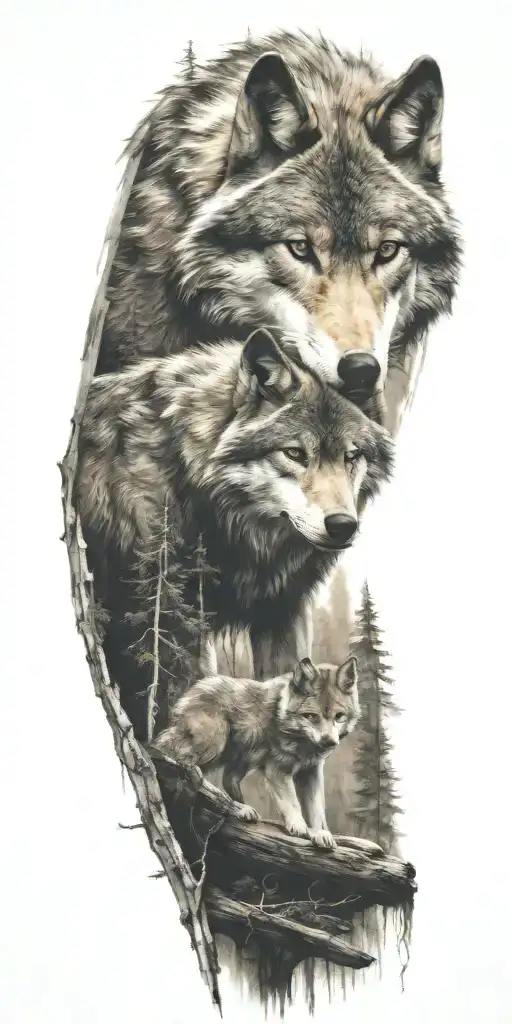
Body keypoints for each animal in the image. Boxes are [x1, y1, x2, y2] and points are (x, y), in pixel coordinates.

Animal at [152, 655, 360, 849]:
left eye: (339, 716)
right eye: (311, 716)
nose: (329, 741)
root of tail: (201, 683)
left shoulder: (311, 772)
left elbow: (316, 808)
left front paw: (320, 833)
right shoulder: (277, 770)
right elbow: (292, 802)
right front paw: (299, 827)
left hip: (243, 757)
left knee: (226, 779)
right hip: (214, 744)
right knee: (182, 762)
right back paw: (237, 808)